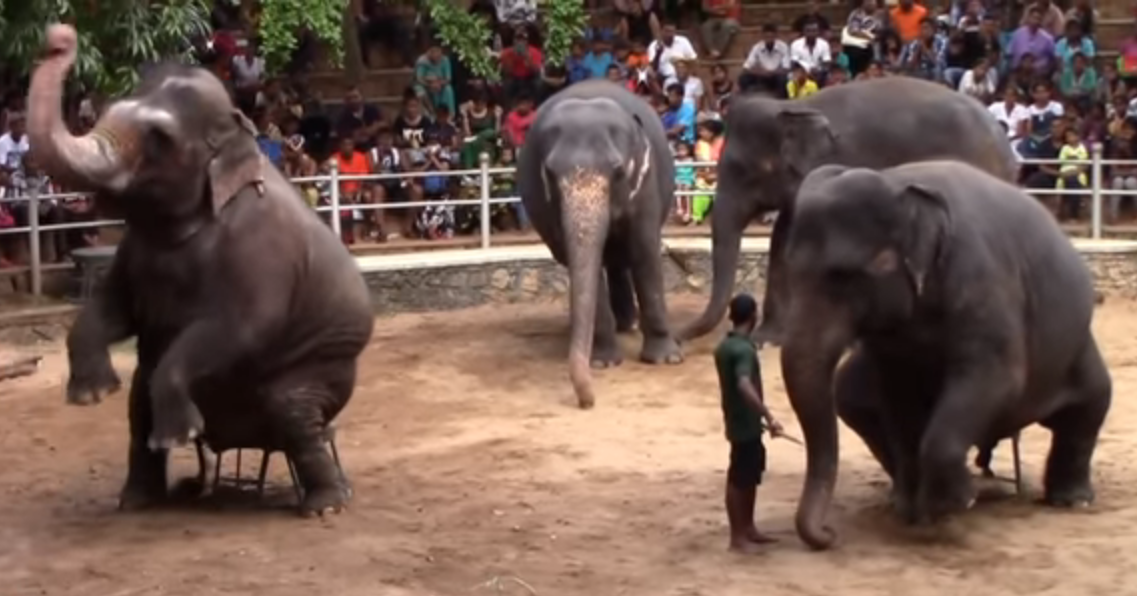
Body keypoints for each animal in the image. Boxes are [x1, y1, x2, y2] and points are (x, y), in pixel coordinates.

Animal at [28, 25, 375, 516]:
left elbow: (241, 328)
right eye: (109, 111)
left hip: (323, 372)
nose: (60, 37)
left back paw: (325, 504)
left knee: (293, 416)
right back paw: (148, 498)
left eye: (159, 137)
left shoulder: (261, 253)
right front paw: (91, 395)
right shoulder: (134, 252)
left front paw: (180, 434)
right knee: (137, 409)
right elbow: (113, 310)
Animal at [517, 80, 683, 409]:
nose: (587, 402)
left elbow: (644, 251)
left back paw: (629, 326)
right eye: (550, 173)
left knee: (621, 260)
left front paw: (665, 360)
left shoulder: (645, 184)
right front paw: (603, 363)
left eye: (618, 170)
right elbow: (581, 262)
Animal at [778, 160, 1112, 550]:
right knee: (852, 402)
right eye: (788, 271)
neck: (896, 184)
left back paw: (1069, 501)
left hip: (1075, 345)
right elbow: (898, 396)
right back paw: (901, 497)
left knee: (1090, 406)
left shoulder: (983, 282)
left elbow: (997, 378)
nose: (829, 534)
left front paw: (955, 504)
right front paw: (915, 514)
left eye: (843, 276)